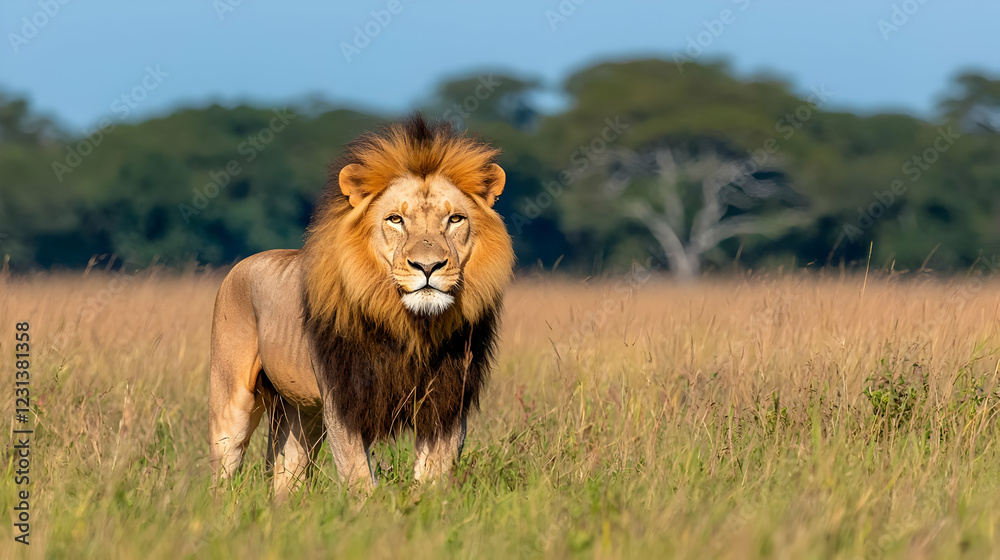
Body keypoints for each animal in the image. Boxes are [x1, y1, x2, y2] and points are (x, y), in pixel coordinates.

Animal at [208, 115, 514, 496]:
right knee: (223, 467)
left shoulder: (446, 402)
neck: (412, 326)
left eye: (455, 219)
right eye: (395, 219)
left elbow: (435, 473)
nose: (428, 266)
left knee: (286, 473)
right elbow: (358, 477)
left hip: (299, 412)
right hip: (232, 402)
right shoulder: (345, 401)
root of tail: (242, 264)